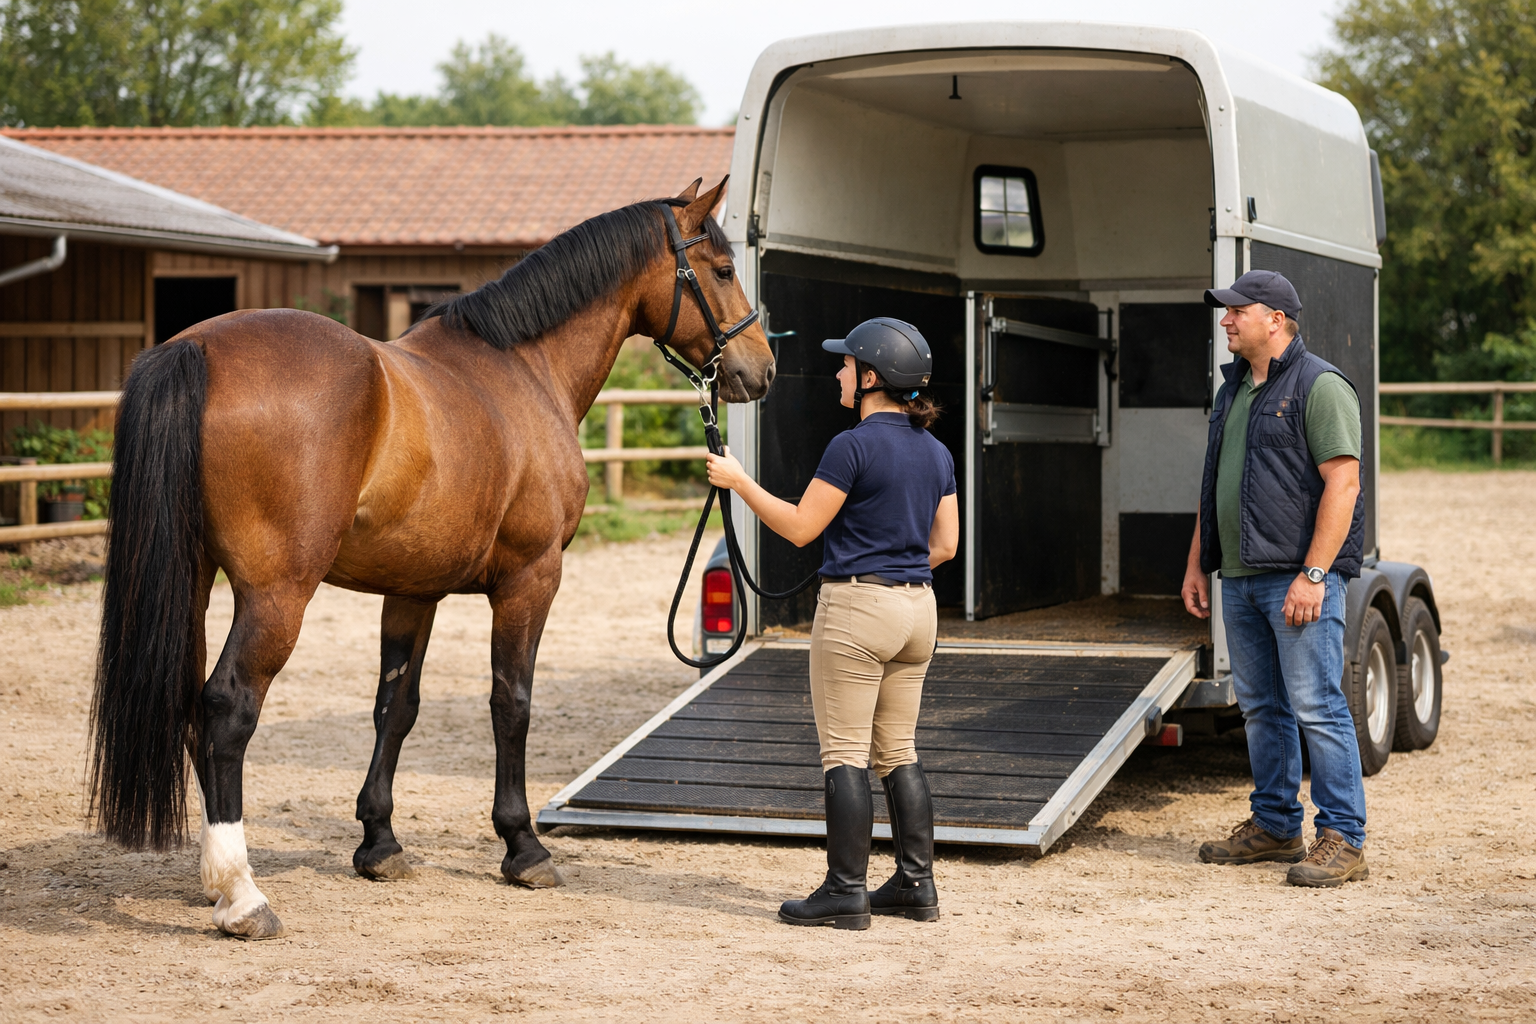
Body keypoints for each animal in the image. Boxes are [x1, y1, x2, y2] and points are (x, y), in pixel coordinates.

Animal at [88, 177, 773, 940]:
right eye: (722, 269)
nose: (761, 370)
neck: (524, 371)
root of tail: (198, 350)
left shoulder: (413, 590)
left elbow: (397, 705)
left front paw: (379, 843)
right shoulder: (531, 579)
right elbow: (512, 703)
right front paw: (523, 847)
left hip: (194, 581)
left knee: (187, 705)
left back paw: (215, 875)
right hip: (276, 593)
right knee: (227, 707)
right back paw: (241, 894)